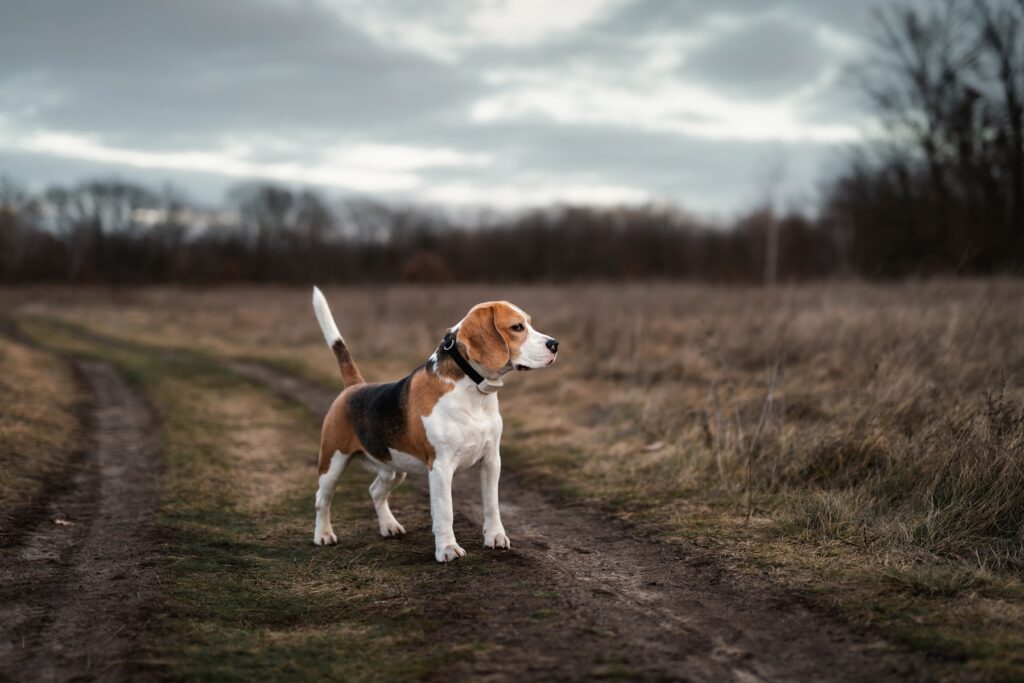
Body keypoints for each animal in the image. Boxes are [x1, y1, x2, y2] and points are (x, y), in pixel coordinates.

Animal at [309, 286, 561, 565]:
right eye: (517, 327)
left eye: (529, 323)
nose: (555, 344)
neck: (473, 391)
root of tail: (355, 387)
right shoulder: (441, 467)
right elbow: (445, 512)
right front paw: (448, 549)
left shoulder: (491, 460)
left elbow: (492, 504)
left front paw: (495, 537)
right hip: (333, 462)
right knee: (322, 499)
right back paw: (323, 535)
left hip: (393, 468)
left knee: (375, 491)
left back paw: (389, 526)